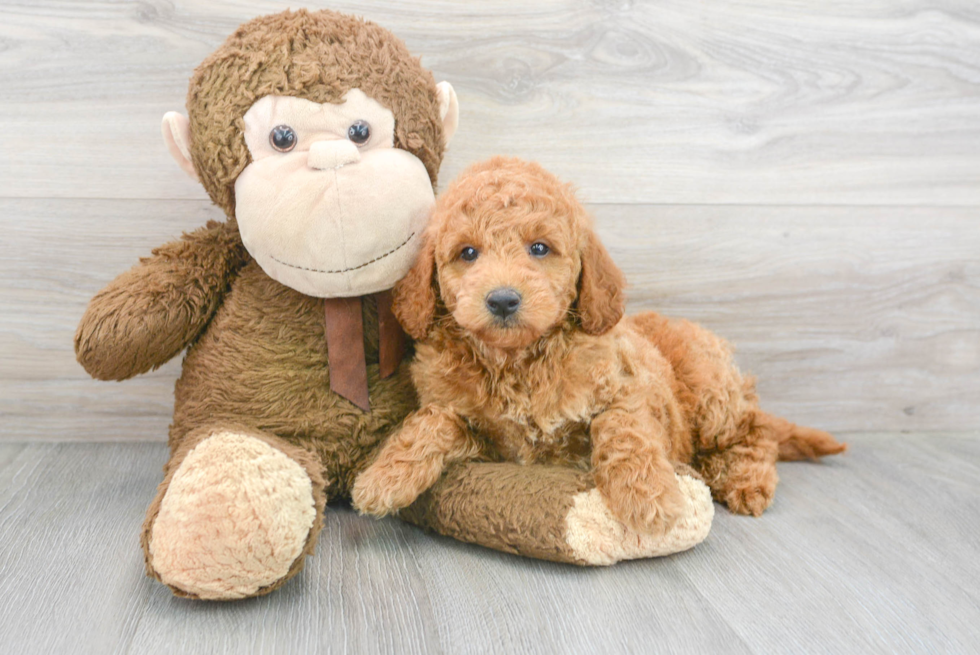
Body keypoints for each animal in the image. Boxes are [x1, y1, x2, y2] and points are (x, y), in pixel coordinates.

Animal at [352, 158, 844, 532]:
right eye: (467, 253)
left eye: (539, 248)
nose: (503, 300)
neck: (518, 362)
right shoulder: (486, 437)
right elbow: (433, 421)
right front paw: (385, 477)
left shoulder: (629, 388)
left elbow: (622, 430)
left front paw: (648, 498)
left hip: (710, 390)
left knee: (754, 431)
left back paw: (745, 480)